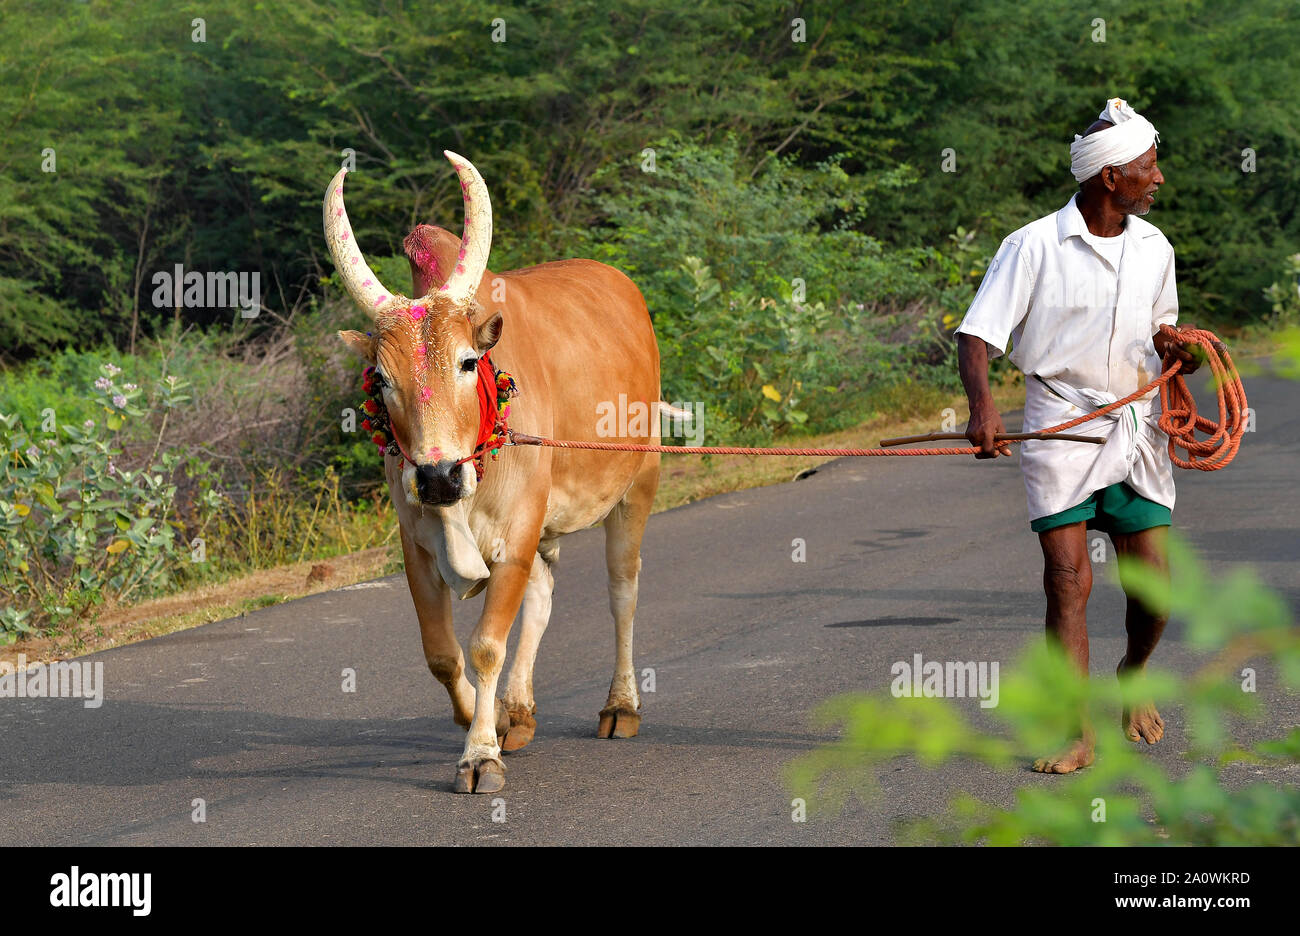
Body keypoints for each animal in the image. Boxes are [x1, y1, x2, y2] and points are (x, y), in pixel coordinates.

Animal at [321, 151, 665, 790]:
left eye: (467, 361)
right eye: (381, 379)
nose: (438, 477)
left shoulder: (516, 532)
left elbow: (485, 646)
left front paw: (480, 755)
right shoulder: (417, 546)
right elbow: (442, 653)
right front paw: (488, 722)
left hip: (638, 484)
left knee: (622, 592)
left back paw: (620, 706)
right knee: (544, 597)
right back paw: (520, 712)